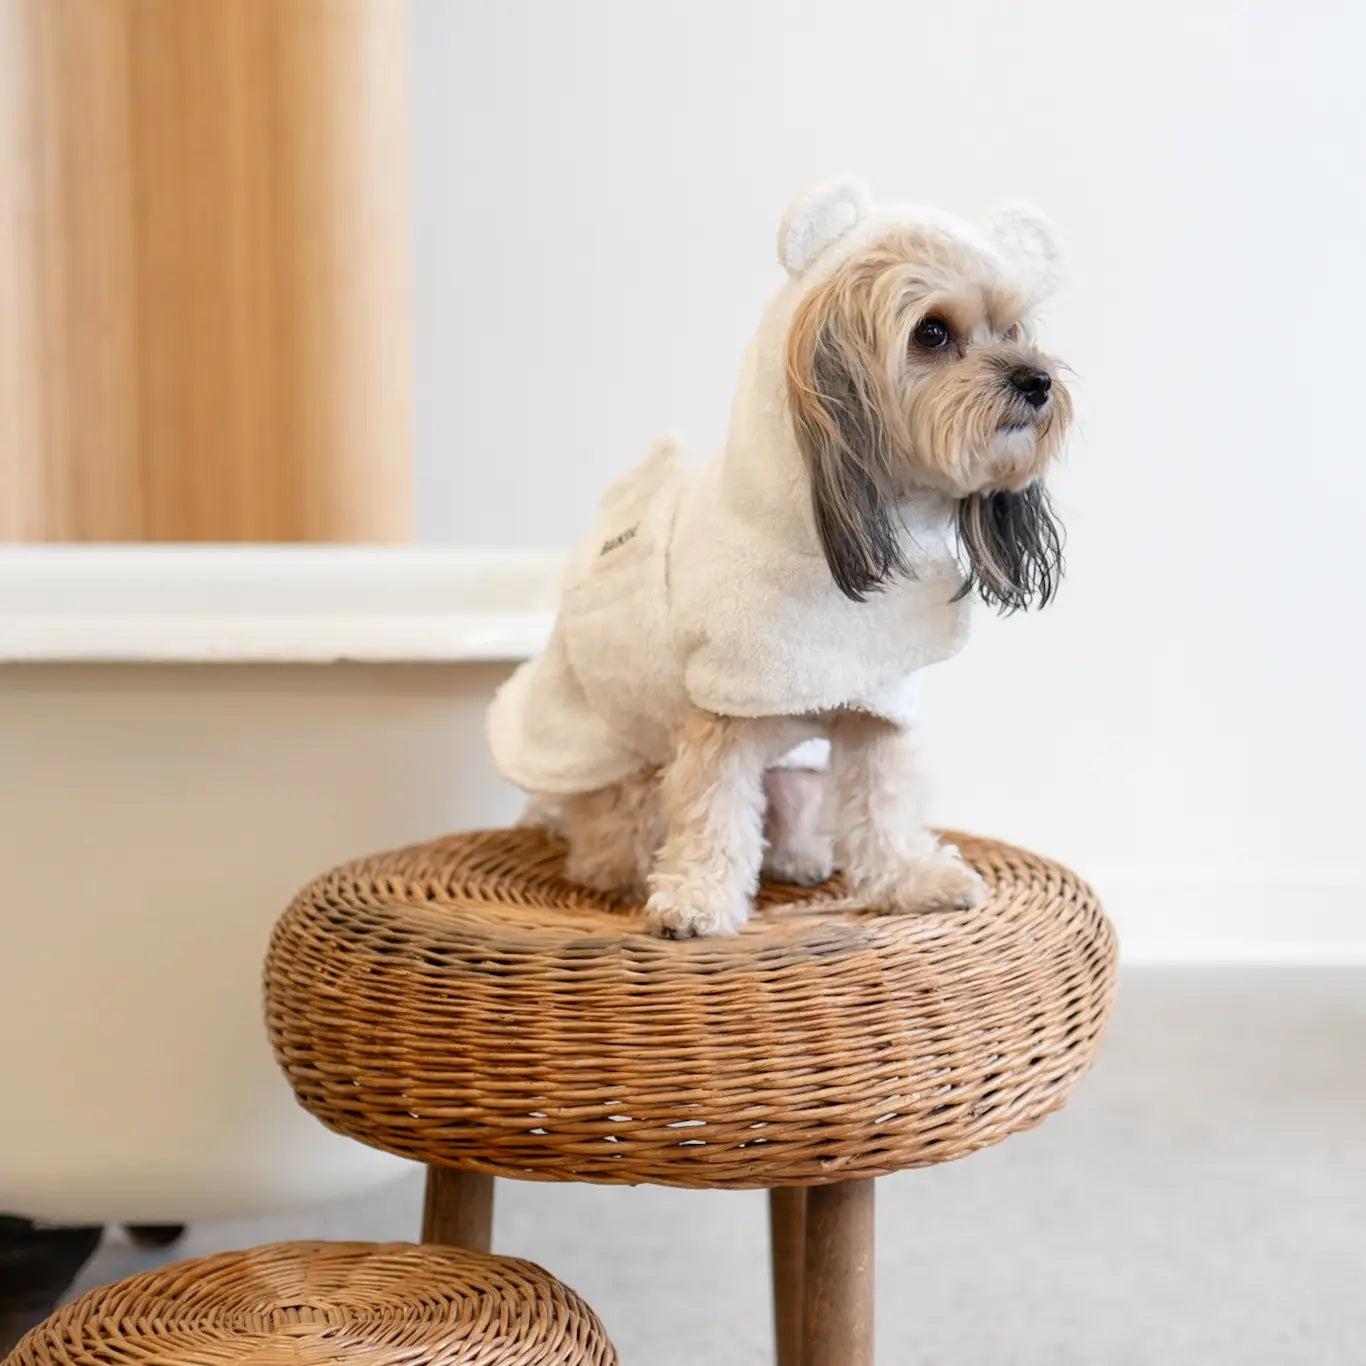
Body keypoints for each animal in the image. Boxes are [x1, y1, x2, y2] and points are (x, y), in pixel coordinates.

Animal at [486, 176, 1070, 934]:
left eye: (1012, 331)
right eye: (932, 332)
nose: (1037, 381)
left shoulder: (876, 703)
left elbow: (882, 803)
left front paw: (911, 879)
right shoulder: (724, 707)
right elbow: (714, 812)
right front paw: (698, 899)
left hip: (795, 776)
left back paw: (800, 856)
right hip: (616, 770)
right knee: (618, 833)